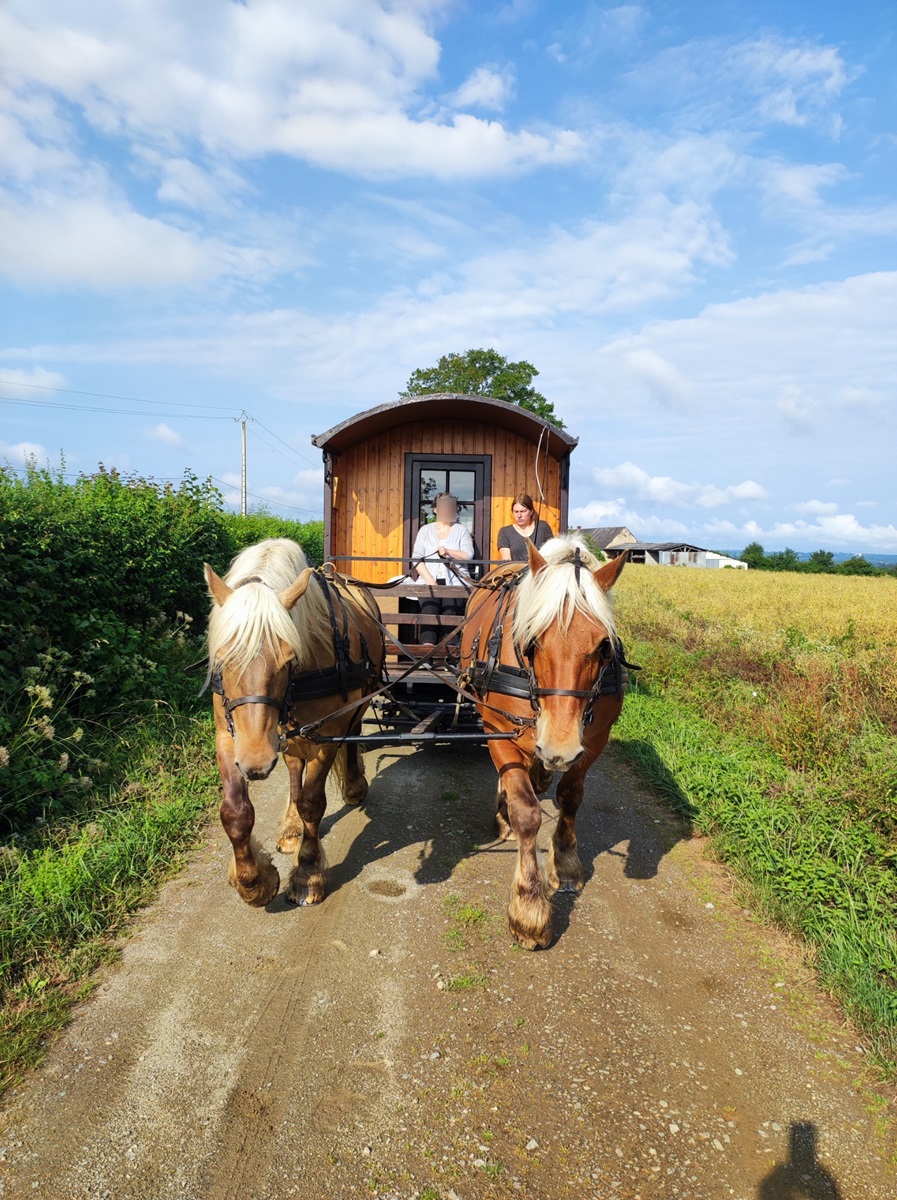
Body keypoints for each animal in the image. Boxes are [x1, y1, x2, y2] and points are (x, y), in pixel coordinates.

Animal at [204, 539, 384, 908]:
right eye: (223, 661)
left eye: (289, 660)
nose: (256, 762)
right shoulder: (228, 735)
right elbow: (235, 811)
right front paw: (252, 881)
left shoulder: (326, 734)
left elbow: (312, 803)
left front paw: (307, 874)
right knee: (291, 766)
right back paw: (290, 825)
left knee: (354, 733)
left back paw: (354, 786)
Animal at [459, 535, 627, 949]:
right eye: (532, 641)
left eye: (604, 646)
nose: (559, 748)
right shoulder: (497, 728)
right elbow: (526, 811)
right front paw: (529, 907)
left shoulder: (594, 740)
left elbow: (570, 797)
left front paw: (565, 863)